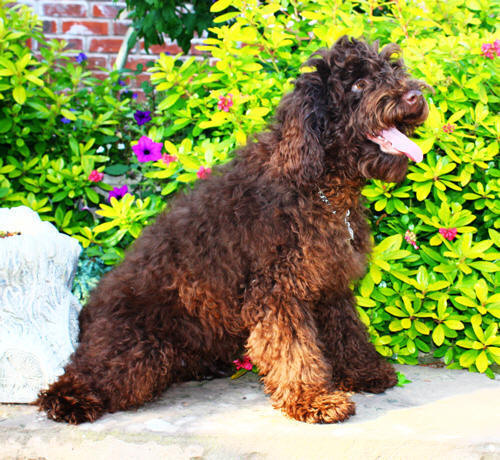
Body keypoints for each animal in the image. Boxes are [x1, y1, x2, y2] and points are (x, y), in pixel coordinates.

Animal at [37, 36, 430, 424]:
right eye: (358, 84)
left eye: (392, 68)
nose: (414, 96)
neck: (315, 186)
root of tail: (86, 316)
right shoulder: (277, 291)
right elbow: (293, 348)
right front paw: (313, 399)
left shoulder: (330, 286)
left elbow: (347, 331)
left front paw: (365, 372)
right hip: (137, 350)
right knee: (82, 377)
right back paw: (70, 401)